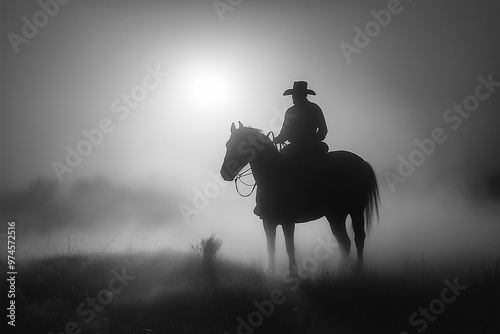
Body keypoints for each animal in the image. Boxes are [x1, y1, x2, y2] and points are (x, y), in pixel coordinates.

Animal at [219, 121, 378, 272]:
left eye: (242, 146)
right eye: (228, 144)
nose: (225, 173)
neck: (273, 175)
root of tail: (362, 162)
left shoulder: (288, 221)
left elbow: (290, 248)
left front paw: (293, 274)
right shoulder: (268, 222)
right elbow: (271, 248)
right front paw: (271, 273)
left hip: (356, 210)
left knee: (358, 239)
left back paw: (356, 270)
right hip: (336, 215)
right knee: (345, 242)